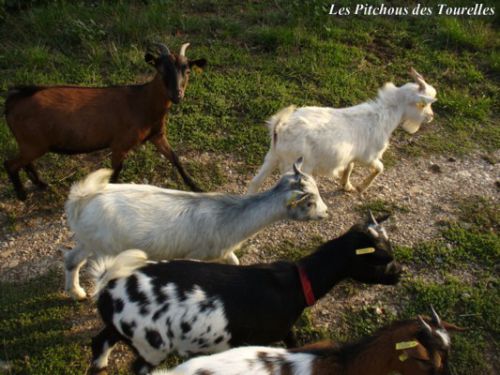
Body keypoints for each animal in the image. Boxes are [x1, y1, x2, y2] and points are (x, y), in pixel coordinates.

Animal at [4, 41, 207, 200]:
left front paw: (197, 188)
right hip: (34, 143)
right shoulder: (119, 144)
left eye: (188, 71)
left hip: (31, 144)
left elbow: (175, 158)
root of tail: (13, 99)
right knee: (10, 164)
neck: (142, 102)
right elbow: (115, 173)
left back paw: (41, 184)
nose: (177, 95)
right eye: (161, 69)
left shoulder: (157, 135)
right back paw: (22, 195)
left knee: (26, 163)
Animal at [63, 158, 328, 300]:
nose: (326, 213)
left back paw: (76, 292)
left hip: (88, 240)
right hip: (105, 248)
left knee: (72, 260)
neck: (231, 218)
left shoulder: (223, 251)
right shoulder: (197, 255)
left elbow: (235, 262)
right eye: (309, 202)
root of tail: (82, 198)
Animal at [89, 213, 402, 374]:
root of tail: (109, 290)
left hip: (122, 330)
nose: (399, 274)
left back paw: (99, 366)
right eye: (381, 259)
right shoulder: (277, 329)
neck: (296, 284)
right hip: (152, 346)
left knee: (101, 341)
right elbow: (292, 343)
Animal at [248, 68, 436, 195]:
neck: (384, 115)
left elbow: (349, 167)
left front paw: (347, 186)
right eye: (424, 105)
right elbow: (380, 168)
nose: (431, 117)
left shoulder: (351, 155)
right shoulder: (370, 156)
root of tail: (280, 127)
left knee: (255, 182)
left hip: (272, 156)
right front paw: (361, 187)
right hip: (295, 164)